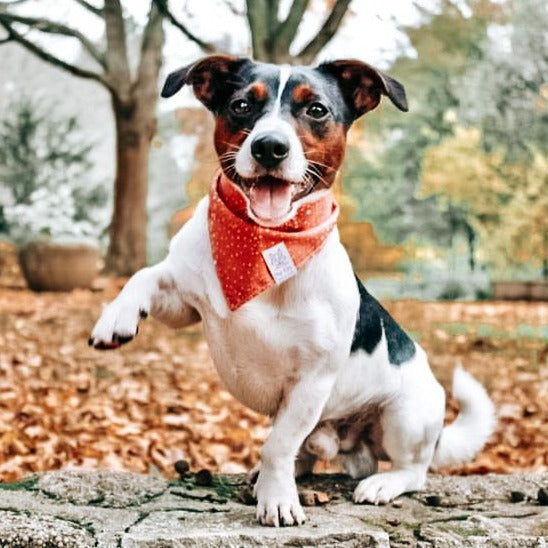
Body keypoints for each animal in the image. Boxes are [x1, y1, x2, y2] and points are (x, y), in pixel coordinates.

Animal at [90, 54, 496, 528]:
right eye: (242, 105)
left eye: (316, 109)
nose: (269, 147)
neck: (267, 245)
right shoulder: (183, 303)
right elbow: (145, 275)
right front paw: (116, 317)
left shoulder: (311, 381)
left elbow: (278, 444)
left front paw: (278, 499)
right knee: (312, 452)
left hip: (405, 416)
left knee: (412, 469)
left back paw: (380, 484)